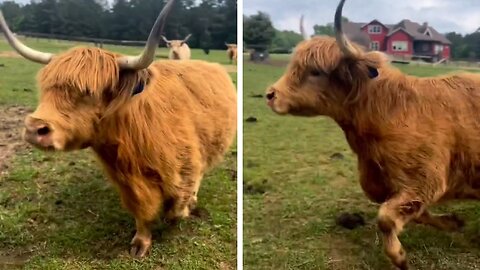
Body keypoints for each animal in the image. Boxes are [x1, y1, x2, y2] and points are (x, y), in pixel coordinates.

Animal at [268, 0, 480, 268]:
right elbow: (417, 213)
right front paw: (454, 223)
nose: (271, 94)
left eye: (315, 71)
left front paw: (400, 258)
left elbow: (386, 218)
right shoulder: (386, 185)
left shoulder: (427, 179)